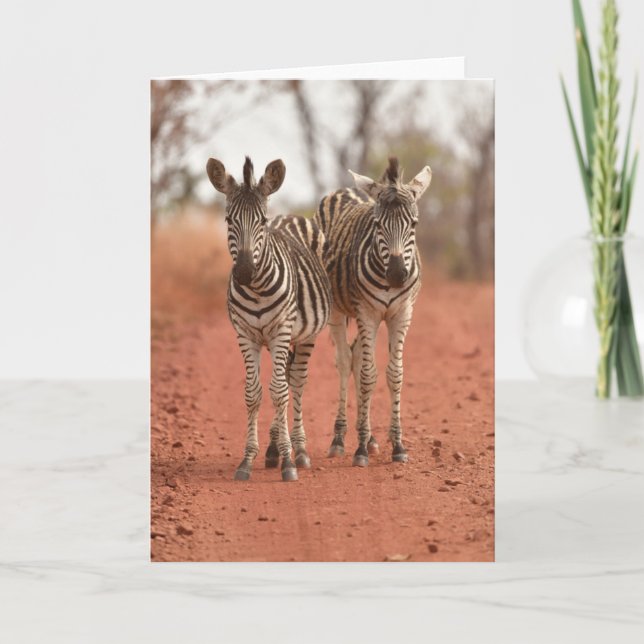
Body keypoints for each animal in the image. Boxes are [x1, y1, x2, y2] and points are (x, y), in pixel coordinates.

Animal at [206, 156, 332, 482]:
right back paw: (275, 448)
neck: (257, 289)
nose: (244, 272)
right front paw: (248, 459)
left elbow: (279, 392)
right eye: (228, 221)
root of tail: (289, 216)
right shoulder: (245, 334)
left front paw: (289, 461)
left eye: (261, 221)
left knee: (295, 382)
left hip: (305, 335)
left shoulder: (280, 332)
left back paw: (298, 449)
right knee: (286, 379)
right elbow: (253, 394)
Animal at [314, 157, 432, 467]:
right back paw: (340, 439)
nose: (397, 275)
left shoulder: (401, 313)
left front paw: (397, 444)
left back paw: (368, 436)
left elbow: (395, 374)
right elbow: (368, 375)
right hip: (337, 311)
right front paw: (360, 450)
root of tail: (343, 190)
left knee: (356, 356)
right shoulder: (367, 312)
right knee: (346, 361)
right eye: (378, 224)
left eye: (414, 224)